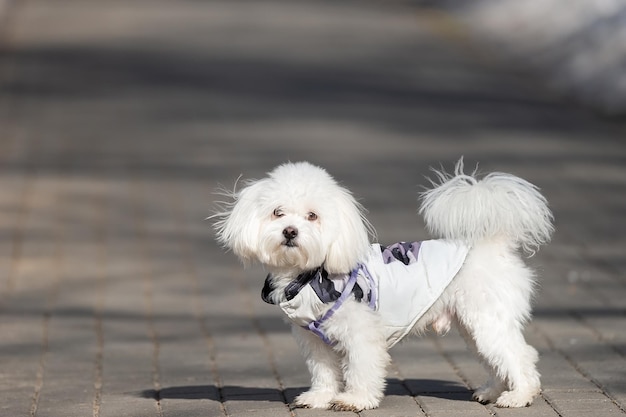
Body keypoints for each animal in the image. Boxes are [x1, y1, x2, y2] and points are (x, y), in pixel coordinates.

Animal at [213, 159, 552, 410]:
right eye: (277, 212)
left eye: (312, 216)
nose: (290, 231)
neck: (311, 276)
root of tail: (494, 244)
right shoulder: (313, 339)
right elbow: (323, 371)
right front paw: (320, 397)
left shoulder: (361, 333)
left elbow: (361, 368)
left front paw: (354, 399)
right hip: (472, 325)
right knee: (497, 358)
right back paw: (493, 391)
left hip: (486, 319)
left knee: (519, 355)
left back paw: (519, 395)